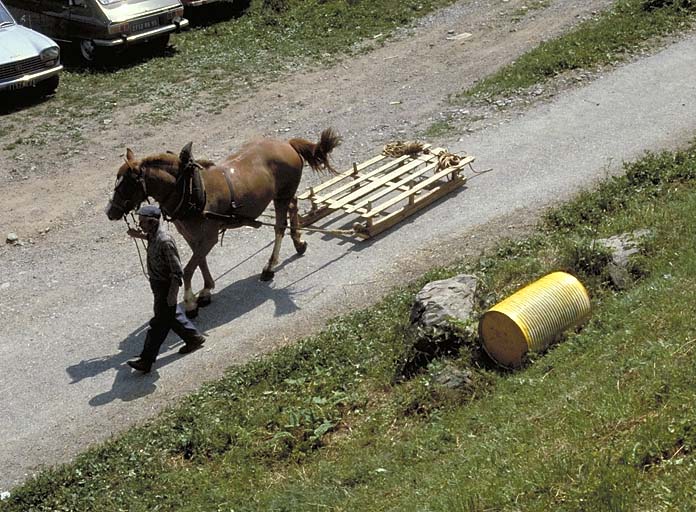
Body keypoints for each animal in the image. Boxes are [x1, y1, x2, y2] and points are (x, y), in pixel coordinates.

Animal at [104, 128, 342, 316]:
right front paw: (207, 289)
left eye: (126, 183)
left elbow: (188, 269)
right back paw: (298, 242)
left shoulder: (208, 238)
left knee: (279, 228)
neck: (190, 189)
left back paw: (270, 265)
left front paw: (190, 302)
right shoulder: (191, 237)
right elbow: (199, 262)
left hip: (281, 196)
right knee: (293, 207)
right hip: (284, 195)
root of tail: (287, 144)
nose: (109, 212)